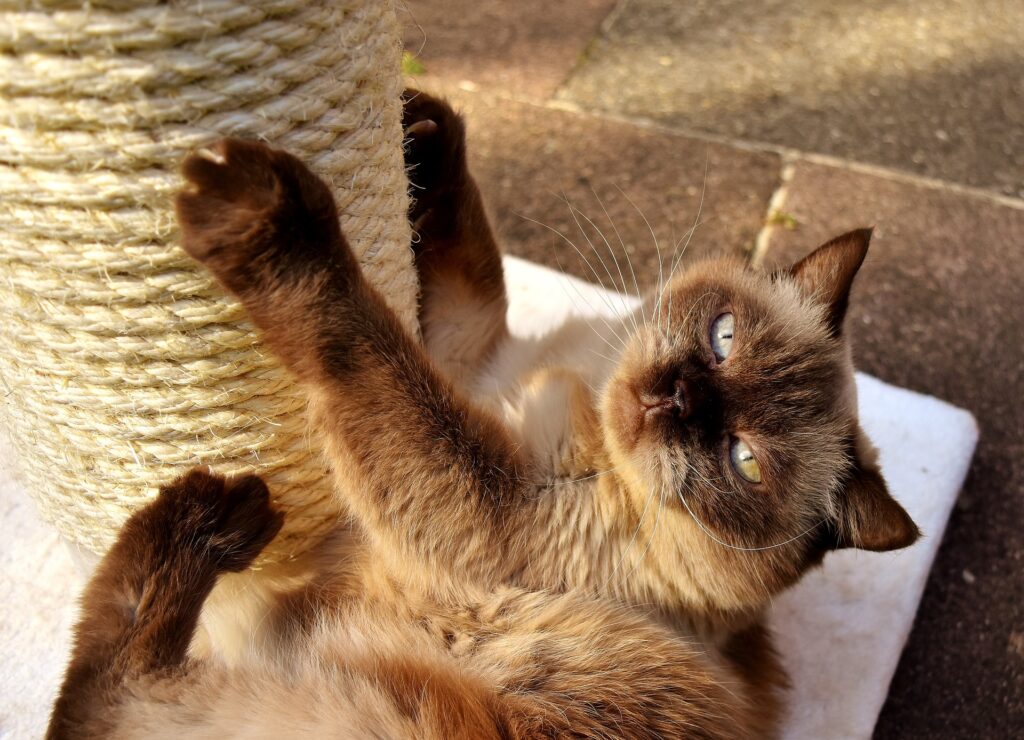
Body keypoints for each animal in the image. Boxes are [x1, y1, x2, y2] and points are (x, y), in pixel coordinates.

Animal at [48, 89, 917, 736]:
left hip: (341, 715)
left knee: (102, 691)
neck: (581, 390)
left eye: (743, 460)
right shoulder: (469, 359)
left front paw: (272, 220)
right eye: (723, 338)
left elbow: (360, 338)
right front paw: (424, 136)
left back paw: (217, 518)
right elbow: (469, 269)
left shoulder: (489, 500)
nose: (675, 397)